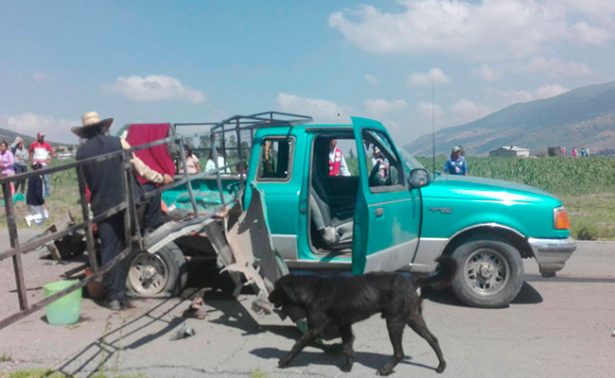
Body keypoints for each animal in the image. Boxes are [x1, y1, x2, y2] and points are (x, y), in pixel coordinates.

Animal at [270, 256, 458, 376]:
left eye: (276, 289)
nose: (269, 297)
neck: (311, 291)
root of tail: (411, 281)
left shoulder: (316, 329)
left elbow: (298, 344)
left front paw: (284, 361)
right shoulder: (344, 325)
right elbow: (348, 347)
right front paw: (348, 367)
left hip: (394, 321)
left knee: (400, 353)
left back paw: (386, 370)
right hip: (414, 319)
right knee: (433, 339)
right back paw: (441, 366)